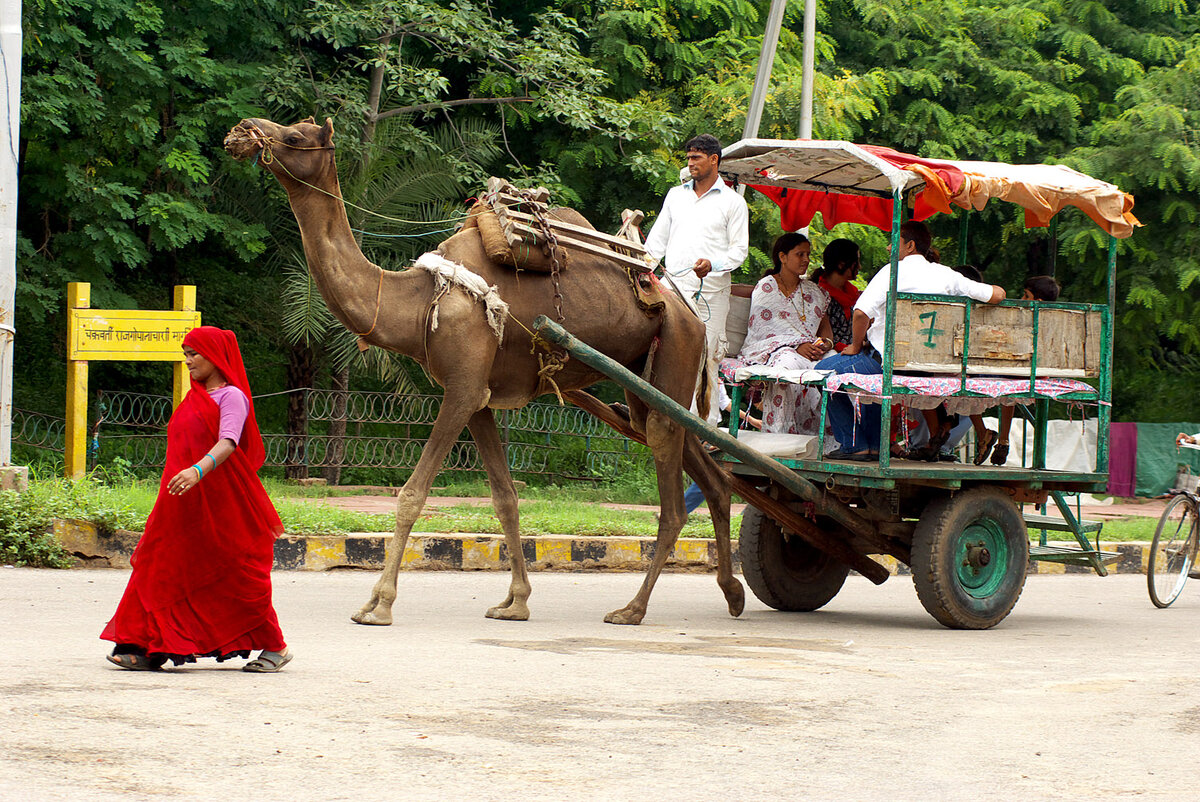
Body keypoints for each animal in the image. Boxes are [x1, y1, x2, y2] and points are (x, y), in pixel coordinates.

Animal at [226, 115, 739, 624]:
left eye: (294, 135)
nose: (241, 131)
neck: (417, 301)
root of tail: (689, 311)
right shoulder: (479, 399)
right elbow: (505, 498)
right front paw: (516, 602)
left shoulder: (462, 390)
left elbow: (411, 495)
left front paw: (378, 604)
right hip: (646, 387)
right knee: (709, 473)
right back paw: (731, 592)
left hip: (675, 352)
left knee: (673, 504)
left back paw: (632, 608)